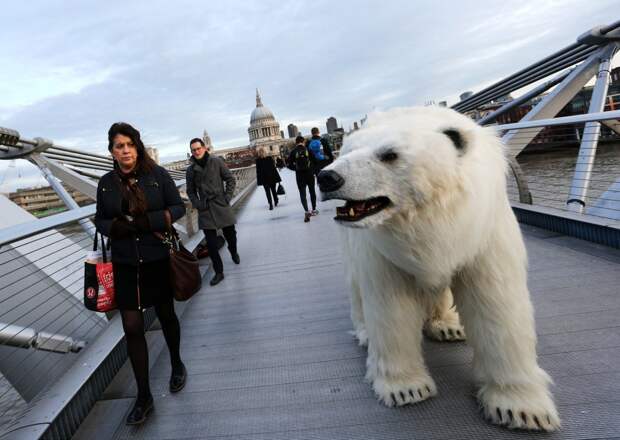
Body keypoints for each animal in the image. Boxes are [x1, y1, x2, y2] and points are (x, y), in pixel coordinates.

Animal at [320, 106, 560, 430]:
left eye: (389, 154)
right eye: (348, 150)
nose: (327, 177)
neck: (435, 216)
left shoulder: (483, 232)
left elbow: (496, 302)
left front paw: (522, 409)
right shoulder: (383, 252)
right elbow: (391, 307)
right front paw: (406, 388)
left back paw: (447, 325)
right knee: (357, 286)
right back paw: (367, 333)